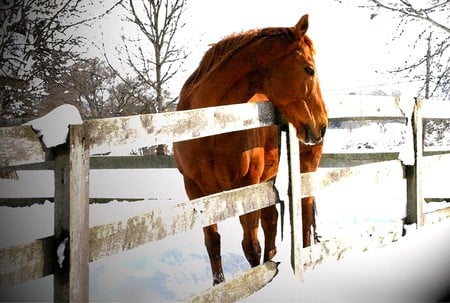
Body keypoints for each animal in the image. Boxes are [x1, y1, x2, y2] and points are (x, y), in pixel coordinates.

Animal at [173, 13, 326, 284]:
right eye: (309, 69)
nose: (322, 124)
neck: (209, 126)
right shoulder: (195, 190)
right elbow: (213, 242)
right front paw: (219, 284)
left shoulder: (247, 184)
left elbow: (251, 246)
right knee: (272, 220)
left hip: (303, 167)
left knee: (304, 210)